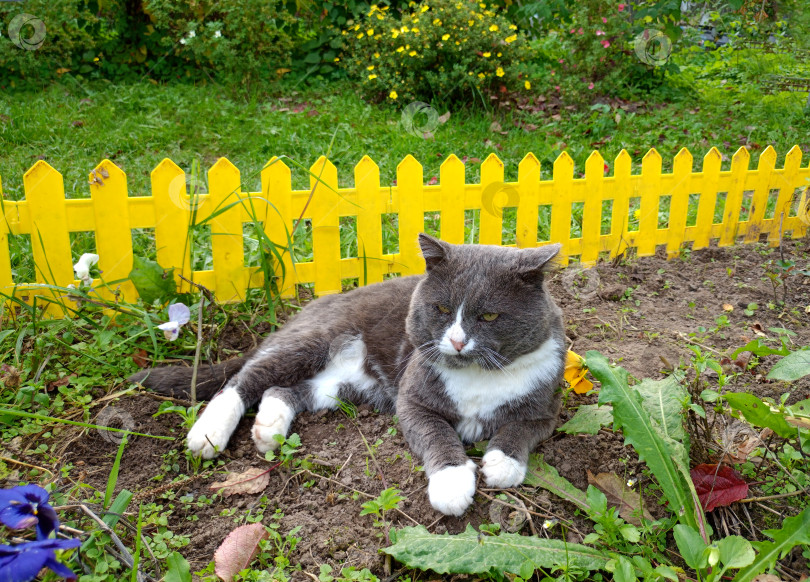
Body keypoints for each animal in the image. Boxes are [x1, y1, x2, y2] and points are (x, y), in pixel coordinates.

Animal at [131, 235, 560, 516]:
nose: (455, 341)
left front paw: (502, 463)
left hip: (348, 385)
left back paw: (269, 429)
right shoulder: (412, 400)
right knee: (246, 379)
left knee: (283, 389)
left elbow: (521, 428)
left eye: (489, 316)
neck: (477, 377)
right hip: (314, 341)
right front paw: (452, 484)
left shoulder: (546, 406)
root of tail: (315, 305)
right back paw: (208, 435)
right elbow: (436, 434)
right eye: (440, 308)